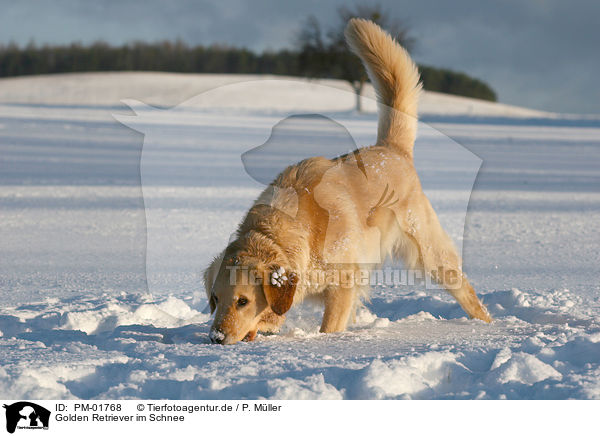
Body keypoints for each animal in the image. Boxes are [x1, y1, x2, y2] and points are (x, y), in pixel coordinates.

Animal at [204, 17, 490, 344]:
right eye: (215, 299)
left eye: (242, 301)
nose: (215, 338)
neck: (294, 229)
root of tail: (392, 149)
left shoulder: (344, 283)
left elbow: (330, 325)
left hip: (428, 252)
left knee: (466, 290)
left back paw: (489, 323)